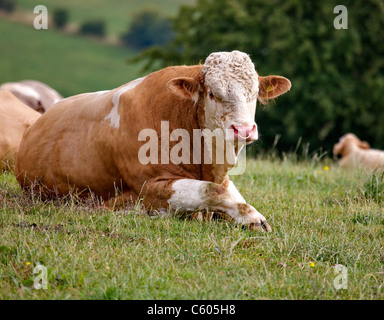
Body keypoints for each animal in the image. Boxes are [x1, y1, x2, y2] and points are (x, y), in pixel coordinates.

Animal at [15, 50, 292, 231]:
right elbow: (211, 190)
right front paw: (252, 217)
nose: (243, 129)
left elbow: (230, 192)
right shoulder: (149, 187)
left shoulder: (222, 177)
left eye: (254, 94)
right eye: (212, 93)